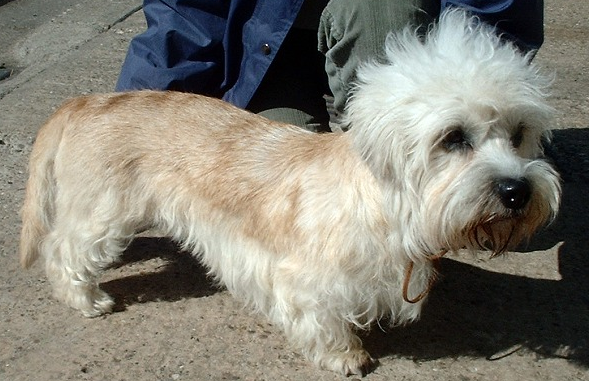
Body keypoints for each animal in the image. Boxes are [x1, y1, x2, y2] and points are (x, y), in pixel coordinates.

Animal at [19, 10, 560, 376]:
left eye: (519, 134)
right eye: (453, 137)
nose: (516, 191)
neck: (385, 207)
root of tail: (86, 101)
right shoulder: (303, 284)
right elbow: (324, 325)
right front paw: (347, 357)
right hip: (102, 216)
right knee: (61, 250)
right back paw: (87, 299)